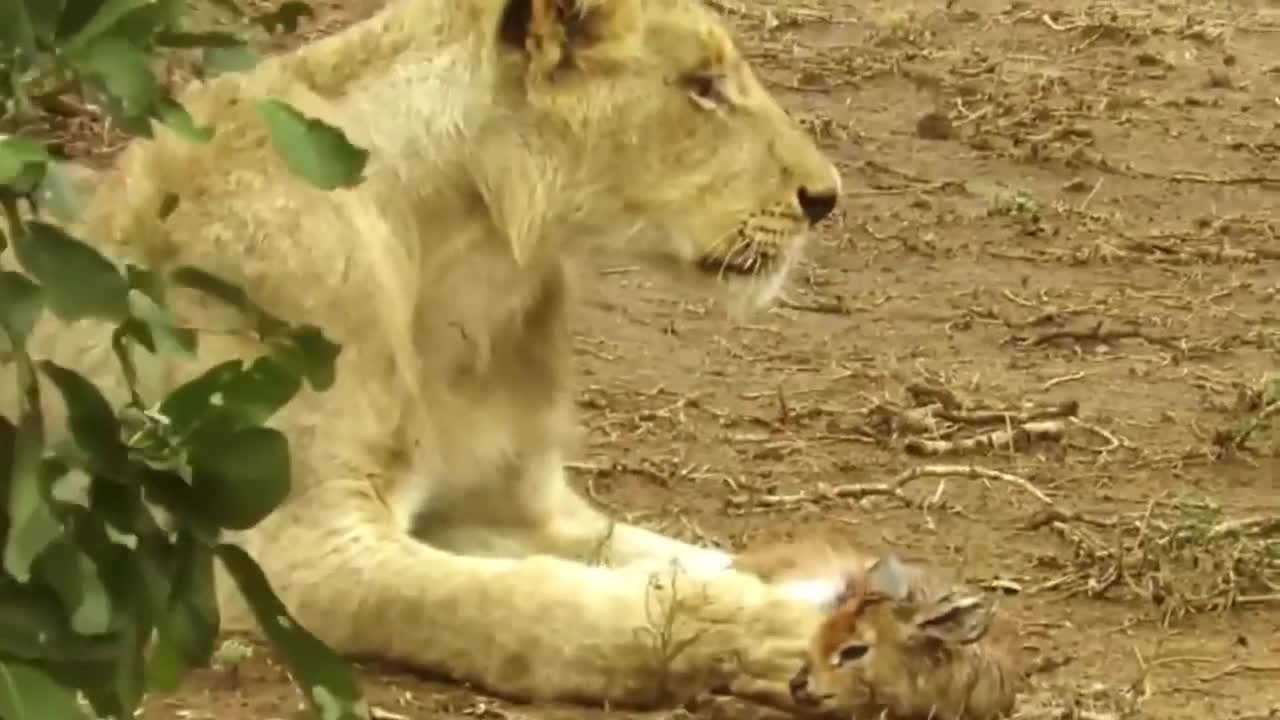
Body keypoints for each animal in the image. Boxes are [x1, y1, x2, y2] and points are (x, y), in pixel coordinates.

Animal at [10, 0, 849, 707]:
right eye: (703, 88)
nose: (826, 198)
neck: (469, 259)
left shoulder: (507, 504)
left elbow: (667, 556)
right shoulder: (294, 551)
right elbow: (528, 604)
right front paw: (784, 632)